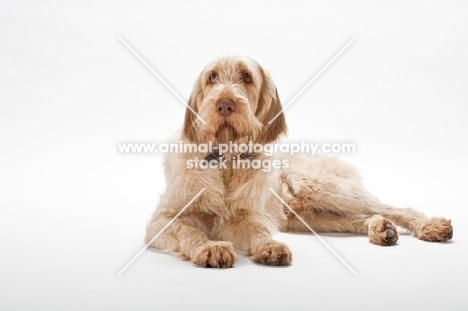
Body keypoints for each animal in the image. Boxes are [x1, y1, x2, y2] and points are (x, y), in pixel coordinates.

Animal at [146, 56, 454, 268]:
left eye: (246, 76)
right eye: (212, 77)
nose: (224, 104)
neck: (225, 161)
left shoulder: (243, 217)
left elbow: (257, 229)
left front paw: (269, 246)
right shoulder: (160, 221)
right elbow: (188, 230)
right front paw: (210, 247)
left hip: (321, 190)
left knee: (394, 208)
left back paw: (429, 226)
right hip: (308, 216)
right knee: (361, 218)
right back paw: (381, 229)